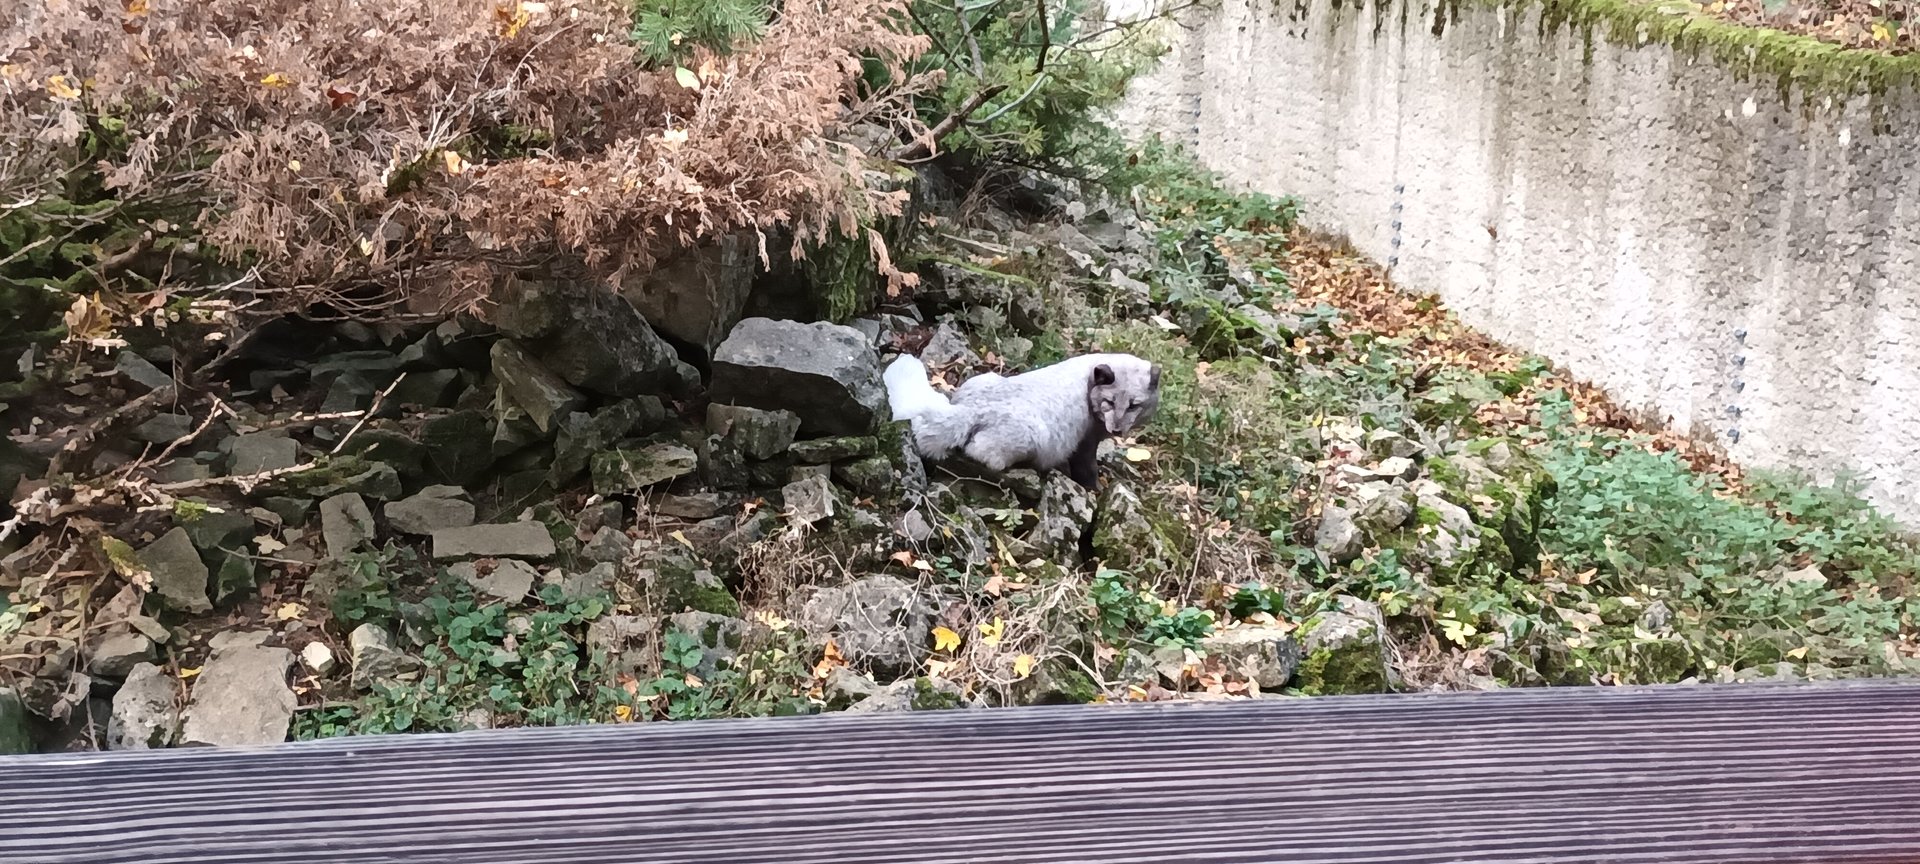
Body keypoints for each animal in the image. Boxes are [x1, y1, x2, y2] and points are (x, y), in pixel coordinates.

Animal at [885, 351, 1162, 489]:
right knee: (979, 452)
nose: (1115, 430)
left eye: (1133, 405)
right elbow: (1087, 471)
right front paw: (1095, 490)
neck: (1089, 382)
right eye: (1109, 402)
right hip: (1031, 437)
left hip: (983, 378)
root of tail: (969, 410)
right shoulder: (1086, 442)